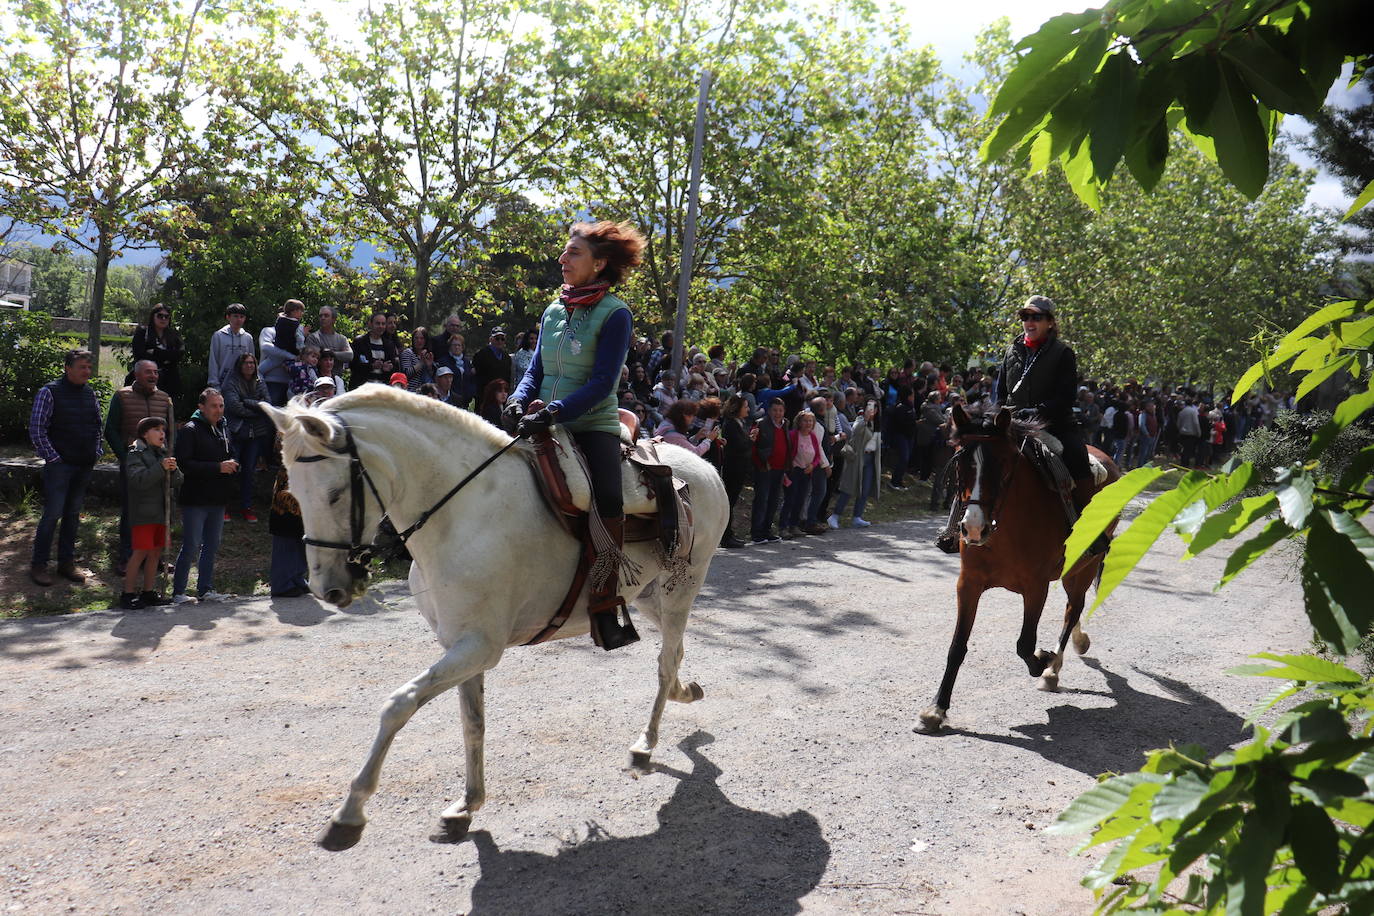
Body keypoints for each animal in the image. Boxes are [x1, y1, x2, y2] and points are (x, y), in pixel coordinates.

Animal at [258, 387, 730, 851]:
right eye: (292, 491)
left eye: (335, 493)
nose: (328, 589)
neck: (462, 515)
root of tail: (705, 467)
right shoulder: (461, 646)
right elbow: (473, 723)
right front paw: (465, 806)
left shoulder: (480, 647)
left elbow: (398, 705)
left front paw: (349, 814)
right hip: (649, 596)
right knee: (675, 655)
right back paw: (684, 692)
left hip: (679, 589)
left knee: (665, 662)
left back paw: (646, 744)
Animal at [917, 403, 1121, 736]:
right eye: (960, 462)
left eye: (1001, 464)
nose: (973, 528)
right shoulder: (968, 584)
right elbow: (957, 646)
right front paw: (936, 710)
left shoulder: (1035, 587)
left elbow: (1025, 644)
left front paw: (1043, 659)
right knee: (1073, 608)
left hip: (1084, 566)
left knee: (1073, 608)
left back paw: (1053, 669)